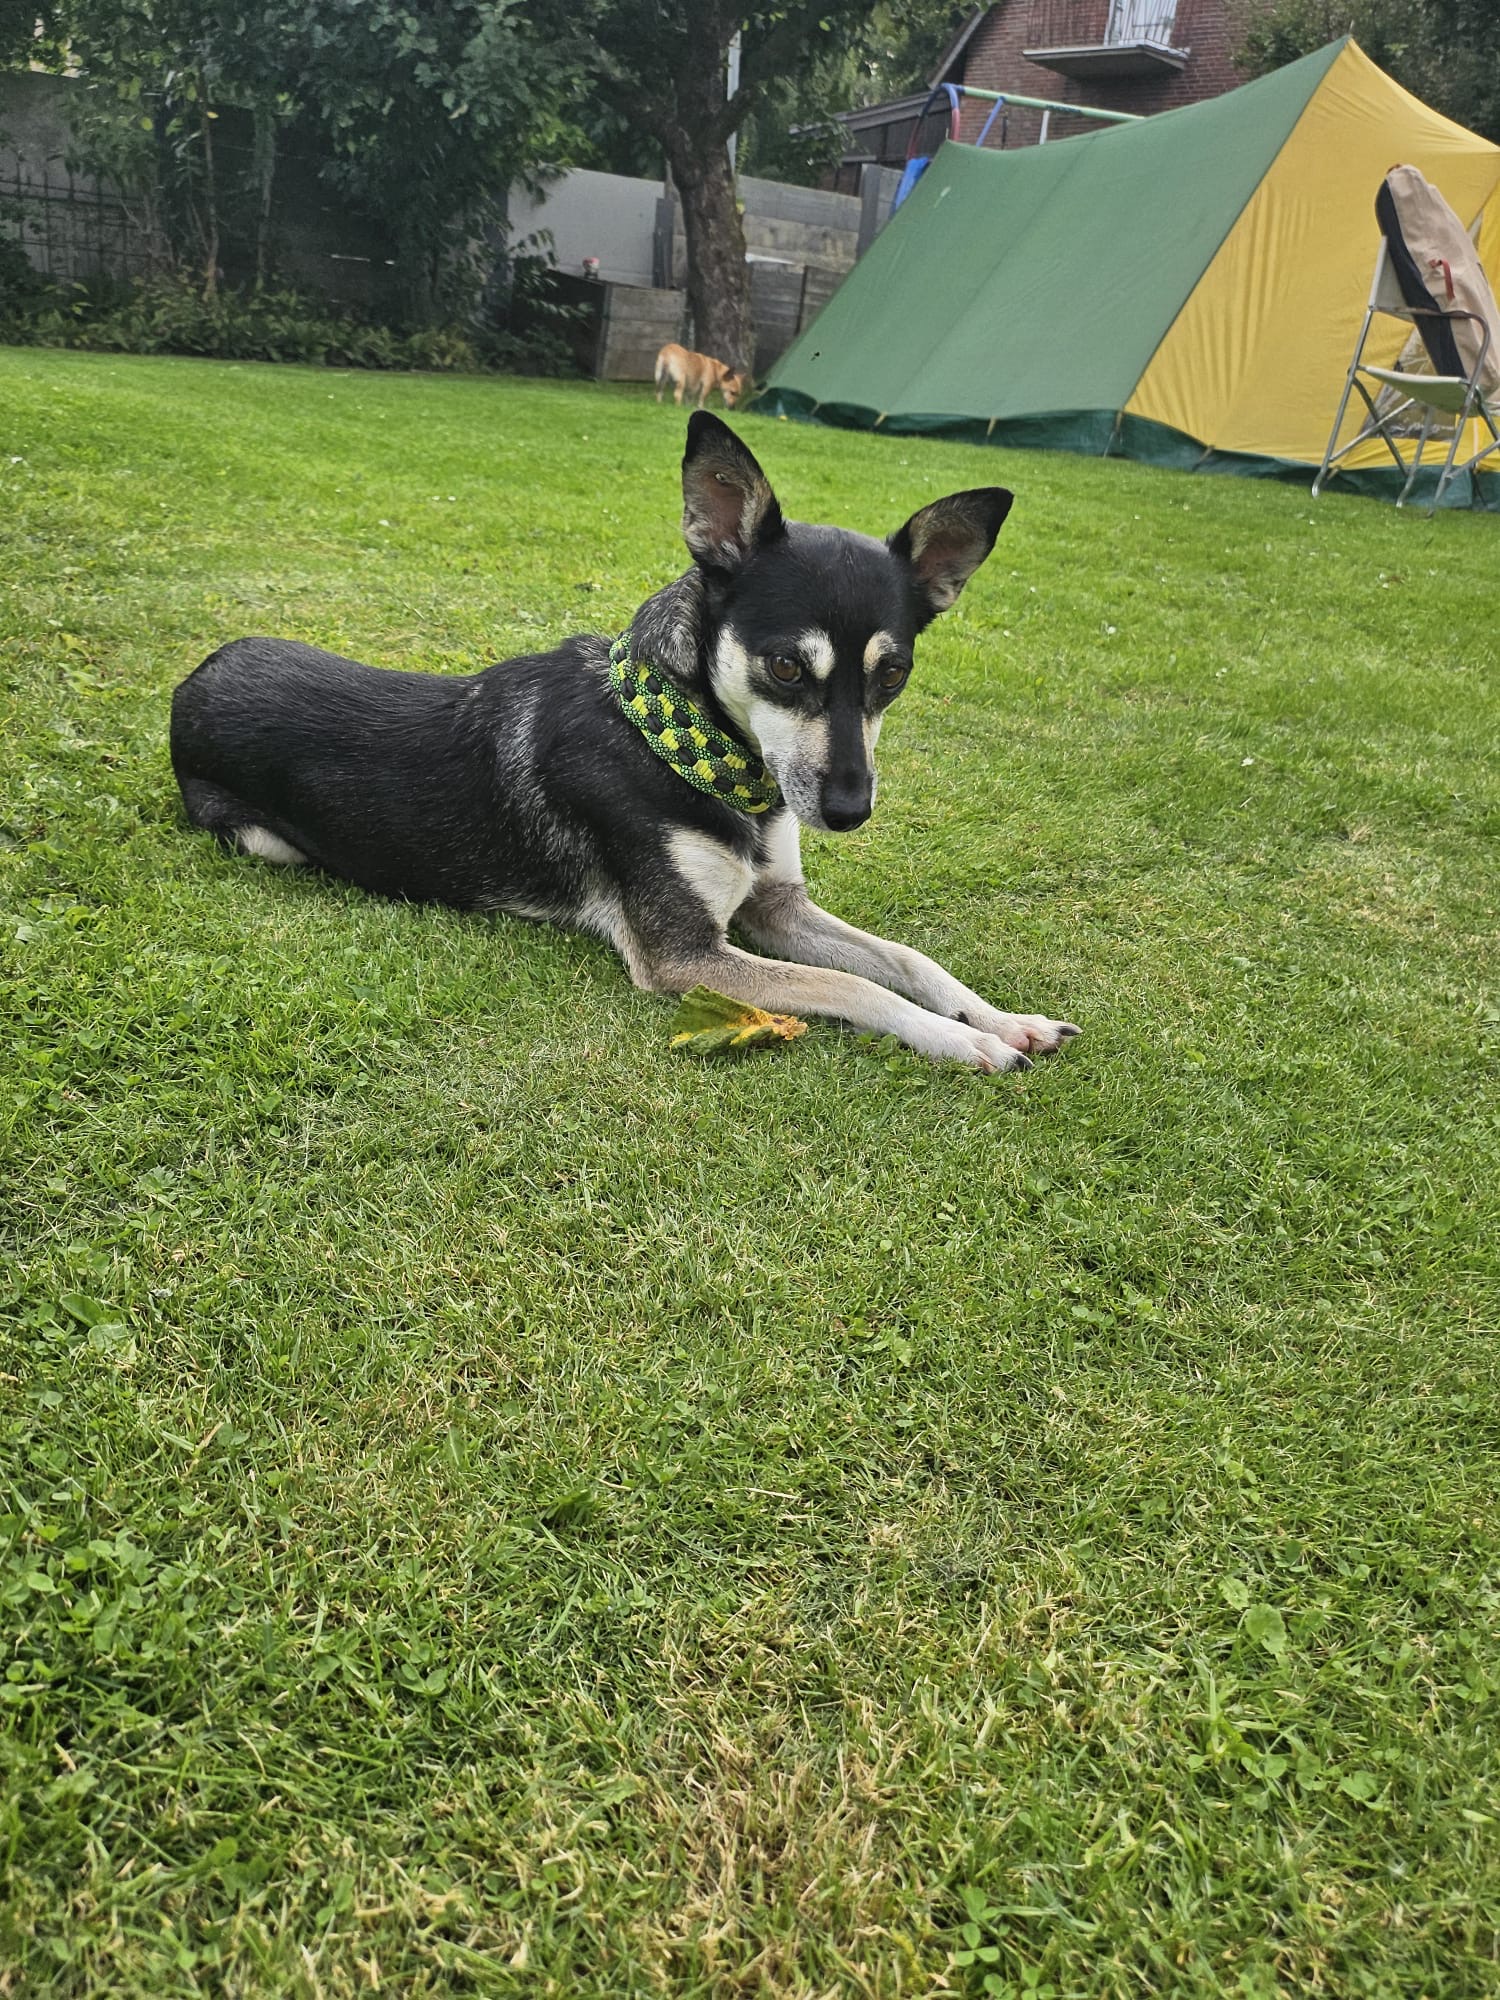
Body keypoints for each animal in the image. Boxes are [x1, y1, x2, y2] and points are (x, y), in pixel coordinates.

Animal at [170, 413, 1079, 1071]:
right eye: (787, 666)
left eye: (893, 675)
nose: (851, 811)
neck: (683, 746)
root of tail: (193, 677)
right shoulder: (684, 956)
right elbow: (857, 989)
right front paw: (965, 1041)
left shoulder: (776, 908)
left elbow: (905, 959)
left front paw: (1004, 1018)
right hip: (264, 842)